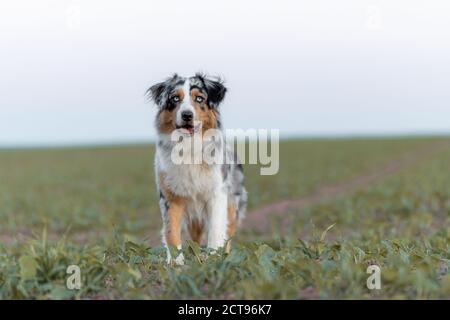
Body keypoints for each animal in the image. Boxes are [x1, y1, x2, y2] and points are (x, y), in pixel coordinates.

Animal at [147, 74, 246, 264]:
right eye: (175, 98)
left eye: (199, 98)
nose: (187, 115)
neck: (188, 149)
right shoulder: (170, 198)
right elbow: (171, 232)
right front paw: (176, 264)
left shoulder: (217, 195)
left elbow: (216, 231)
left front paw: (213, 259)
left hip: (233, 205)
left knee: (228, 233)